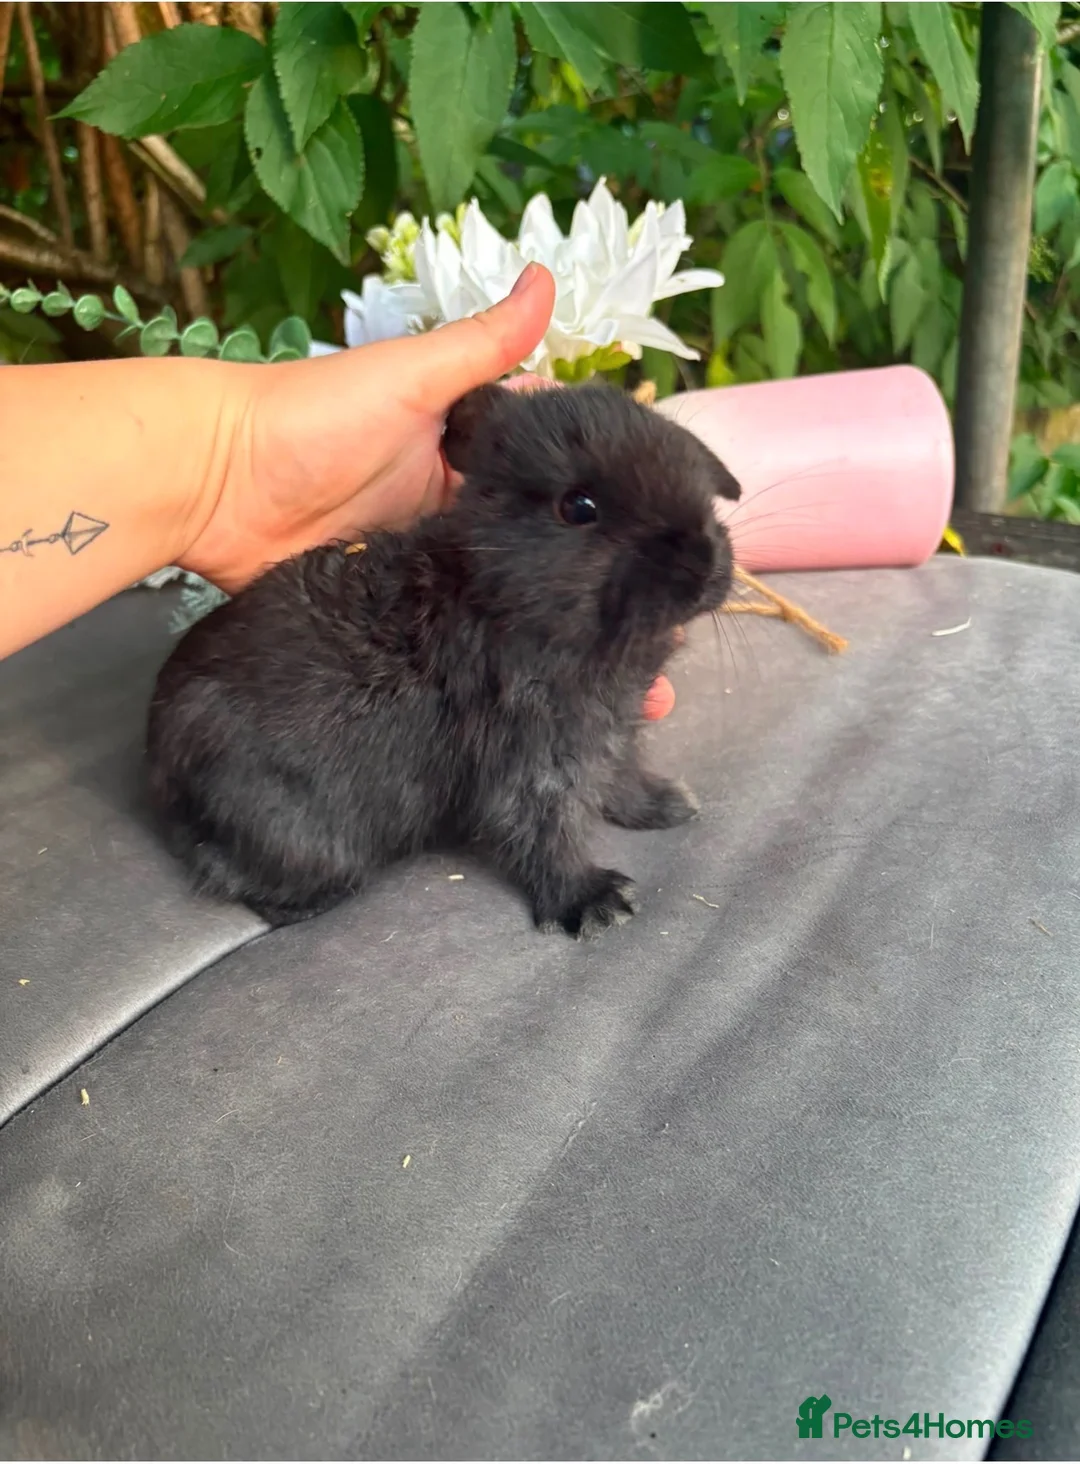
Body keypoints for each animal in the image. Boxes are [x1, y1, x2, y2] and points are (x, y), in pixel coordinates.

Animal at [145, 382, 741, 939]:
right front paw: (593, 901)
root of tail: (155, 764)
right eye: (579, 507)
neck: (500, 597)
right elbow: (545, 833)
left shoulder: (608, 735)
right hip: (307, 842)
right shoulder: (531, 763)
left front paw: (666, 804)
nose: (702, 561)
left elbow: (621, 777)